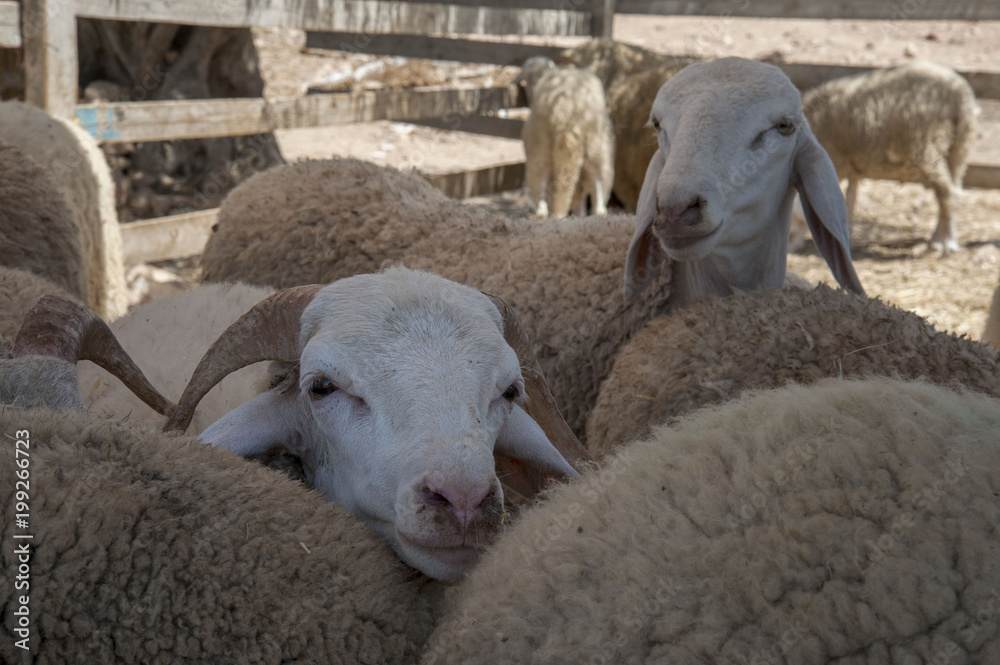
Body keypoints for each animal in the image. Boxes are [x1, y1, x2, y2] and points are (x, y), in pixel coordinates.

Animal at [800, 61, 979, 253]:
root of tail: (960, 92)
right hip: (959, 148)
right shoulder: (852, 166)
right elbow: (850, 198)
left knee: (946, 191)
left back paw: (945, 242)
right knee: (953, 190)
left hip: (928, 145)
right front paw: (848, 238)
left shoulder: (834, 161)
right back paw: (940, 237)